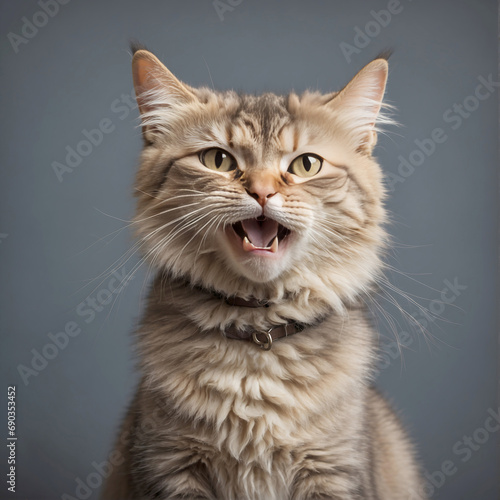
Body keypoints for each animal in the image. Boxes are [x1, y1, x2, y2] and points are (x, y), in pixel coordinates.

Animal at [100, 44, 426, 500]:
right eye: (217, 159)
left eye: (307, 165)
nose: (262, 191)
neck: (257, 336)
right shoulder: (168, 466)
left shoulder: (335, 472)